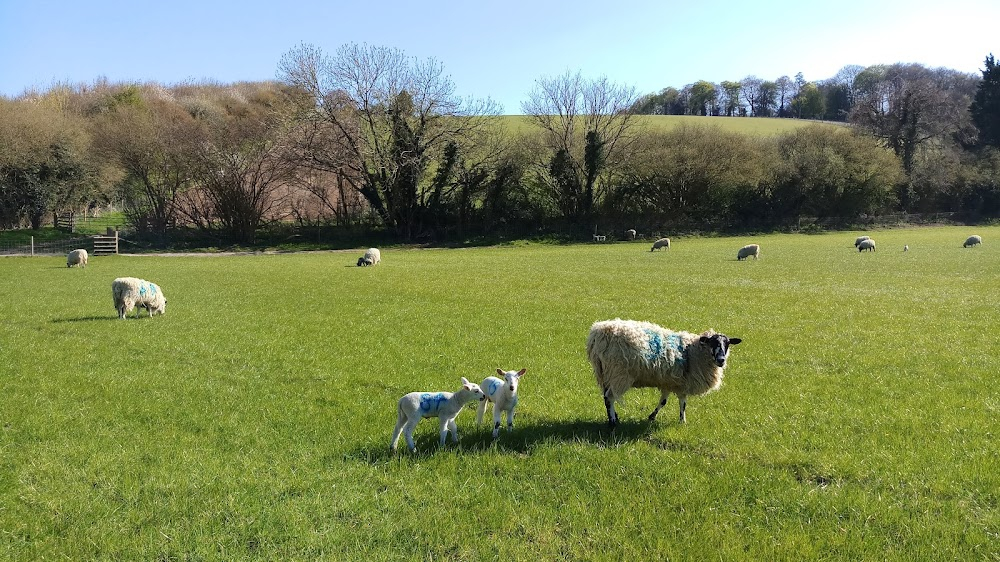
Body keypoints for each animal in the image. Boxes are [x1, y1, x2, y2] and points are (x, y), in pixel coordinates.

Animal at [584, 318, 744, 426]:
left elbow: (663, 401)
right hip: (619, 373)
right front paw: (682, 421)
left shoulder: (668, 381)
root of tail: (597, 334)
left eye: (727, 344)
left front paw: (652, 417)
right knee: (610, 397)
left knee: (606, 396)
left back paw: (615, 417)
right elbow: (683, 403)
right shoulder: (683, 384)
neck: (694, 351)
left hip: (604, 373)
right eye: (713, 343)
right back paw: (612, 422)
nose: (721, 360)